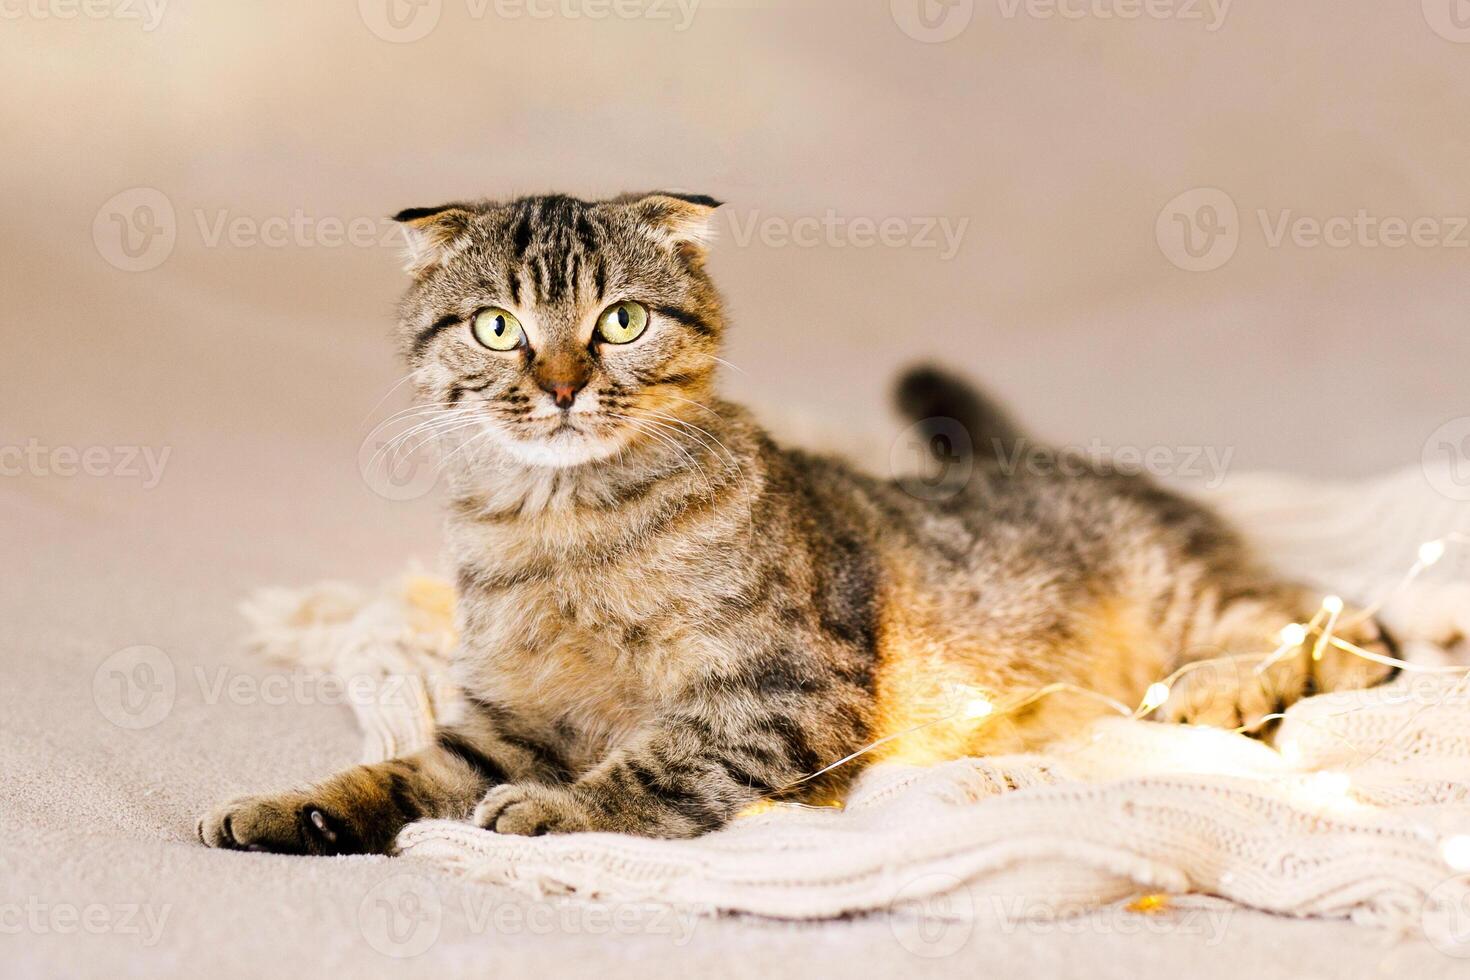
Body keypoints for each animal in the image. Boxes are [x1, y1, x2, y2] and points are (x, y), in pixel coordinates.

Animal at [195, 189, 1387, 852]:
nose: (565, 384)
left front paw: (560, 812)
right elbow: (395, 775)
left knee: (1334, 619)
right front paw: (291, 809)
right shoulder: (501, 726)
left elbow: (658, 760)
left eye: (619, 320)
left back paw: (1230, 683)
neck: (563, 526)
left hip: (1188, 590)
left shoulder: (785, 690)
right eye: (497, 327)